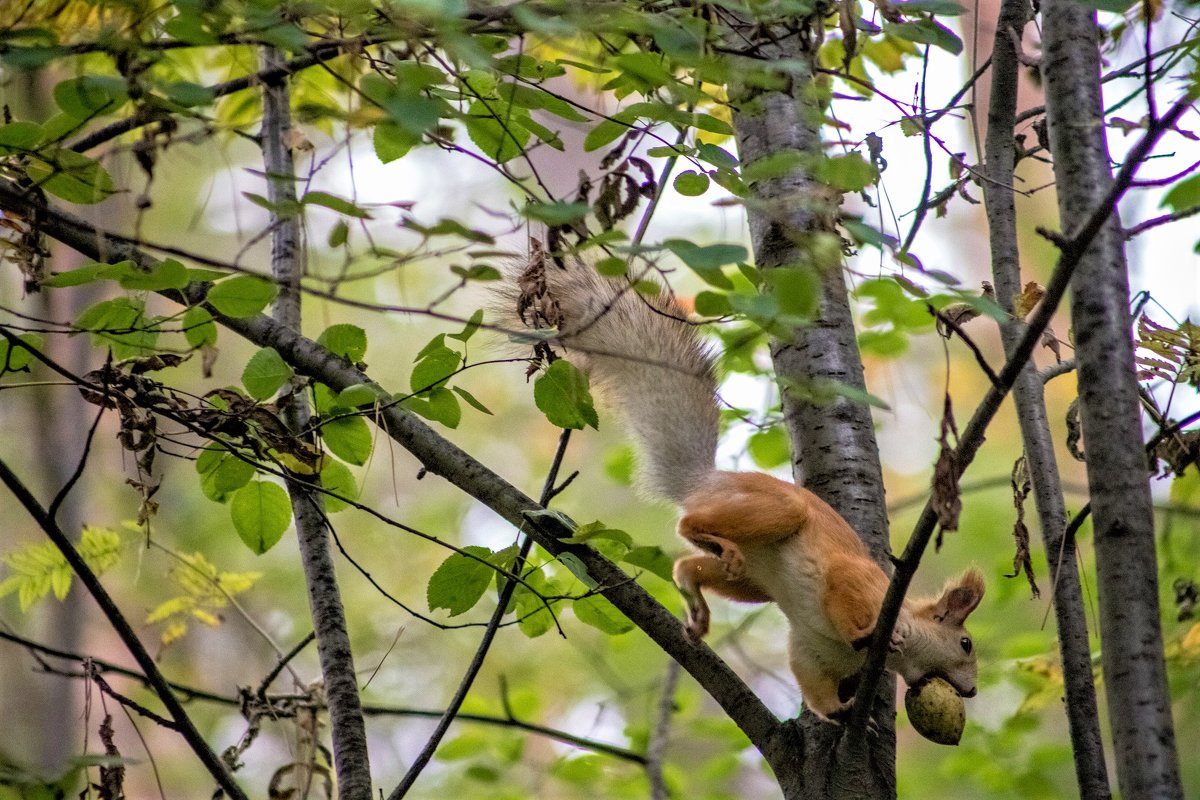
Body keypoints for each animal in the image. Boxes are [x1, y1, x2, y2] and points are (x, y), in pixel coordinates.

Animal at [499, 256, 984, 719]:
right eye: (965, 644)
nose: (973, 690)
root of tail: (708, 479)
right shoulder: (859, 585)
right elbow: (845, 594)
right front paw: (880, 636)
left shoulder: (813, 652)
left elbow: (811, 680)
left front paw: (841, 713)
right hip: (774, 511)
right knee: (691, 526)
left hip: (751, 581)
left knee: (688, 567)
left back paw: (694, 597)